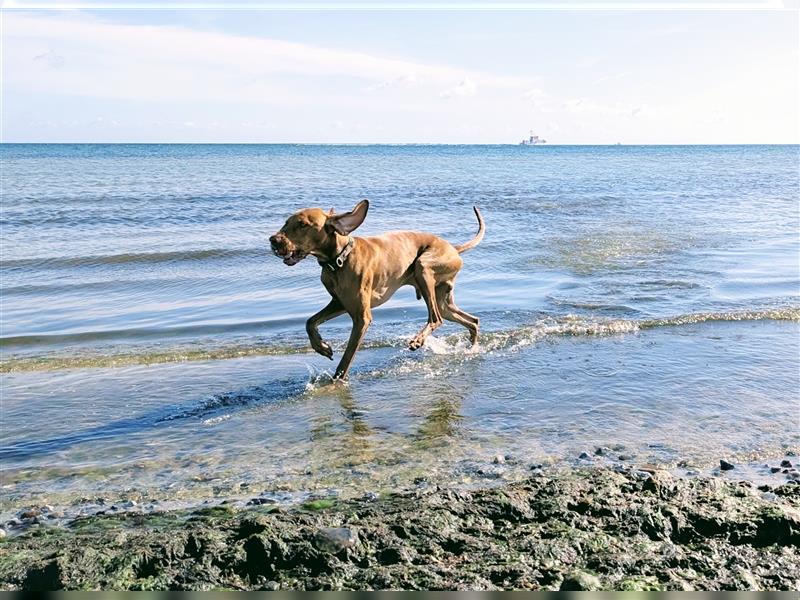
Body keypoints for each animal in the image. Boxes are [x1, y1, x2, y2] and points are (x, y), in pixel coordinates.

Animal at [268, 200, 484, 380]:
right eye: (286, 222)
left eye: (302, 225)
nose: (273, 240)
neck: (339, 260)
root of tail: (454, 248)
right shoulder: (339, 303)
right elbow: (310, 322)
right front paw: (322, 347)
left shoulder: (361, 317)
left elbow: (347, 358)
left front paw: (336, 381)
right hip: (442, 299)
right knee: (472, 320)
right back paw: (471, 347)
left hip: (424, 268)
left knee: (436, 317)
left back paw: (418, 340)